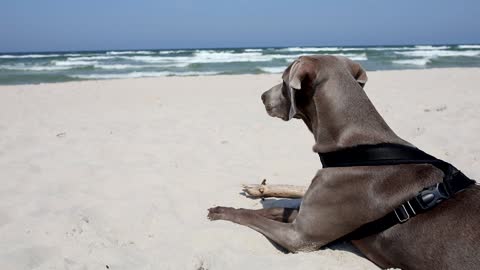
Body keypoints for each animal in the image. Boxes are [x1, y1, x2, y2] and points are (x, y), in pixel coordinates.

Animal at [207, 55, 480, 270]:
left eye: (283, 80)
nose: (262, 96)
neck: (356, 148)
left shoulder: (300, 237)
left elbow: (255, 218)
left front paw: (224, 213)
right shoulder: (306, 216)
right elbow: (272, 210)